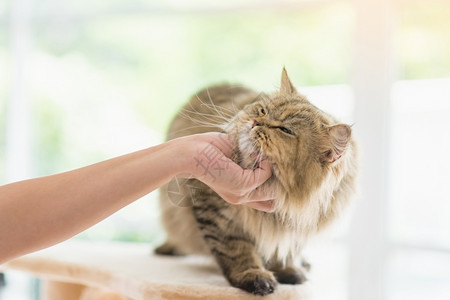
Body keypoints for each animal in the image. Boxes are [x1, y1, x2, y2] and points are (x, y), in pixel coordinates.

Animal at [156, 68, 358, 296]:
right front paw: (253, 276)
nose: (256, 122)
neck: (283, 200)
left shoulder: (299, 223)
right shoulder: (216, 211)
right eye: (262, 110)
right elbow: (236, 250)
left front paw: (287, 271)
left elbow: (284, 250)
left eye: (285, 130)